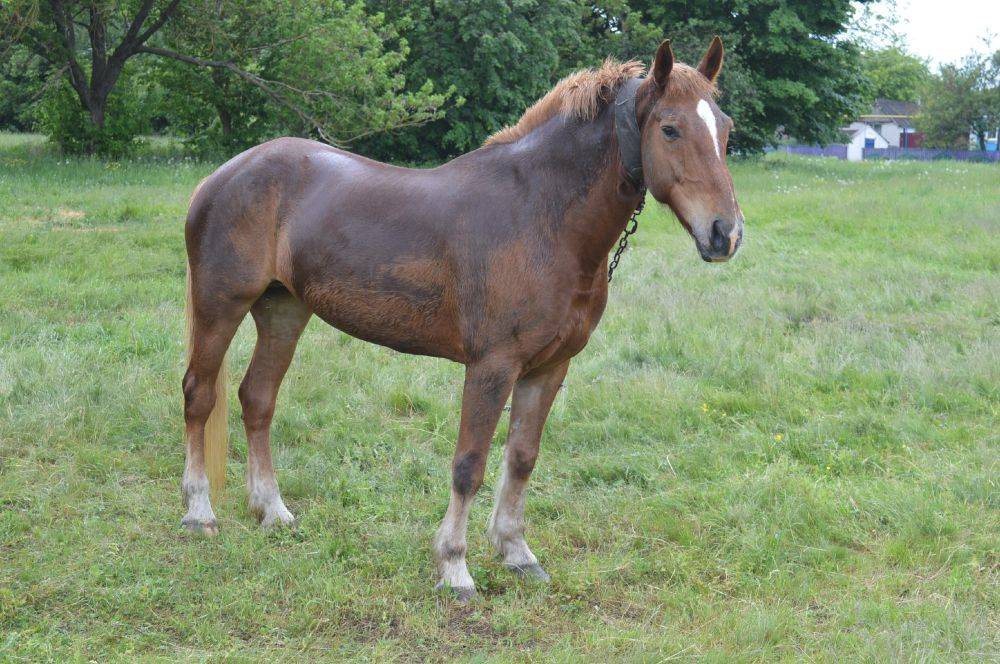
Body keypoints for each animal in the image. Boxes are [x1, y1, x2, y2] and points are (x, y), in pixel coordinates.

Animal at [180, 37, 744, 600]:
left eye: (724, 126)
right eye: (669, 128)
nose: (726, 234)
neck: (540, 216)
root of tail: (223, 175)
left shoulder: (548, 367)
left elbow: (521, 457)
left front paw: (516, 552)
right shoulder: (493, 366)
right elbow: (469, 465)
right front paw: (454, 567)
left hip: (283, 310)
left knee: (257, 398)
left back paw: (272, 511)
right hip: (220, 306)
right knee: (199, 395)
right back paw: (199, 513)